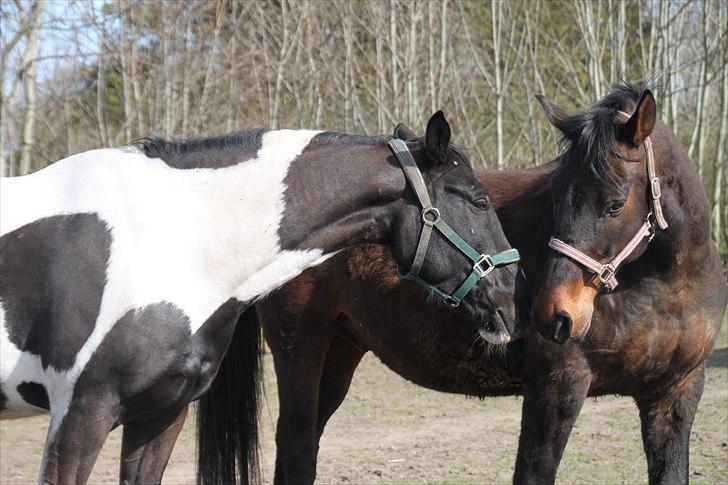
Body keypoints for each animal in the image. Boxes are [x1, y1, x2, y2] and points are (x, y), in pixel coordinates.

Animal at [196, 83, 724, 484]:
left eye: (614, 203)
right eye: (555, 196)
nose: (551, 314)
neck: (663, 288)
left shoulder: (675, 396)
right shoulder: (556, 390)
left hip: (339, 353)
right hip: (301, 349)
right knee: (298, 447)